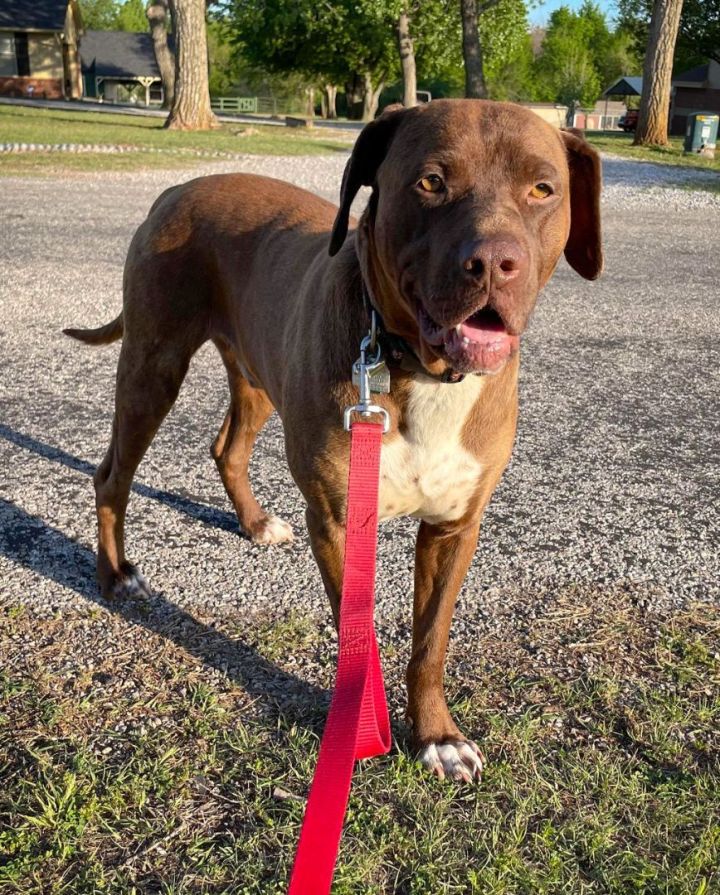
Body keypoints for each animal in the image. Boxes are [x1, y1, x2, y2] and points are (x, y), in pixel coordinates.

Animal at [66, 100, 600, 784]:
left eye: (542, 189)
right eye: (431, 182)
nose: (493, 263)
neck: (414, 367)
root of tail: (180, 187)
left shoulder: (455, 526)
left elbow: (430, 641)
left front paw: (435, 735)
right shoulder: (338, 519)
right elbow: (359, 639)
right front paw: (361, 728)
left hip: (257, 374)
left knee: (226, 448)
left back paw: (254, 522)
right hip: (152, 364)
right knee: (113, 474)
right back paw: (116, 576)